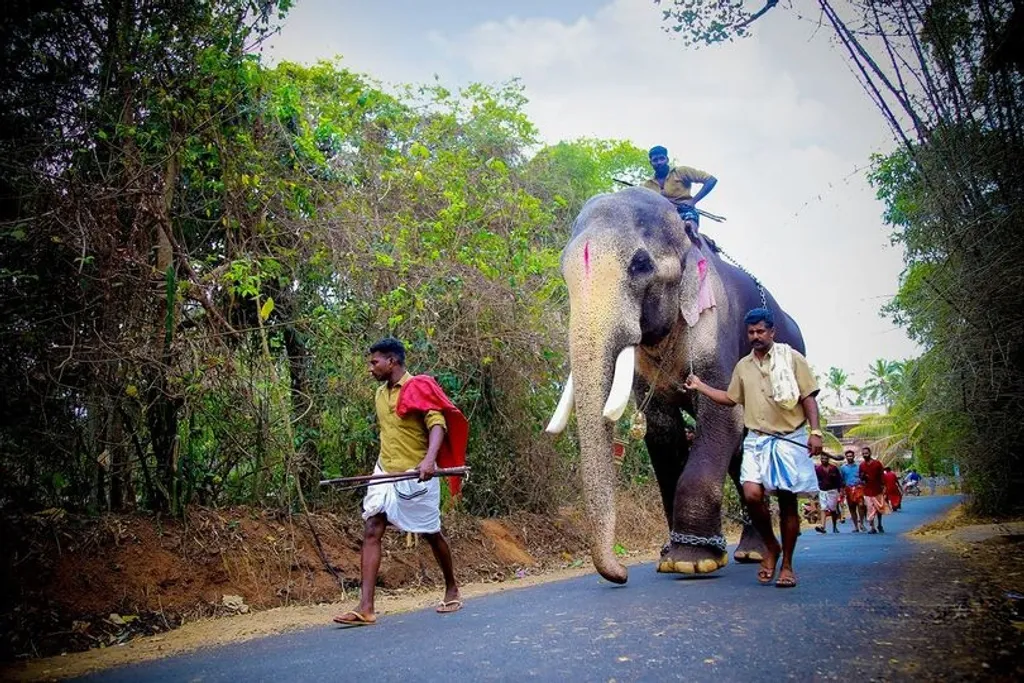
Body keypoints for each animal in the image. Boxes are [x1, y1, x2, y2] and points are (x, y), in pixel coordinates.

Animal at [548, 188, 802, 589]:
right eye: (563, 270)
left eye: (640, 264)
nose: (621, 574)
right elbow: (661, 430)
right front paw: (672, 556)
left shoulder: (714, 328)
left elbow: (723, 415)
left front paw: (691, 562)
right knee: (739, 453)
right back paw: (750, 551)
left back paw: (753, 553)